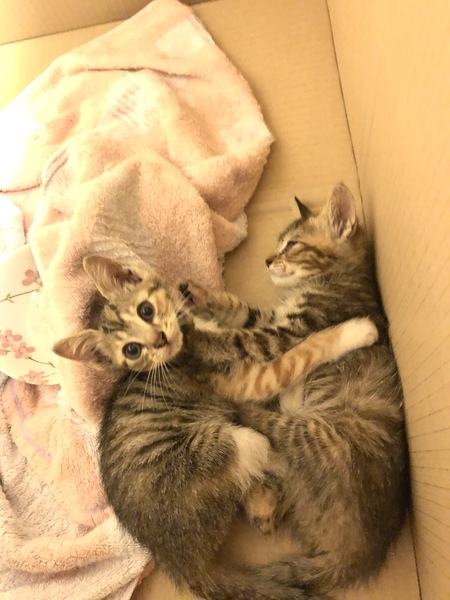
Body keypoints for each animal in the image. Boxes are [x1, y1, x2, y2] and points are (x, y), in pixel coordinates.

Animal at [53, 250, 378, 600]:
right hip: (226, 444)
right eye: (132, 350)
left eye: (146, 310)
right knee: (269, 453)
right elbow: (300, 353)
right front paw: (357, 331)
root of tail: (180, 562)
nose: (160, 339)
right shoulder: (247, 378)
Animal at [183, 182, 410, 598]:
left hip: (320, 433)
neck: (334, 277)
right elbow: (240, 311)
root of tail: (355, 555)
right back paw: (262, 504)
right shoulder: (271, 320)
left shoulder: (285, 332)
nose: (267, 260)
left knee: (268, 431)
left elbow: (238, 337)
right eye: (278, 244)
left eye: (292, 245)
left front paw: (192, 335)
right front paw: (203, 295)